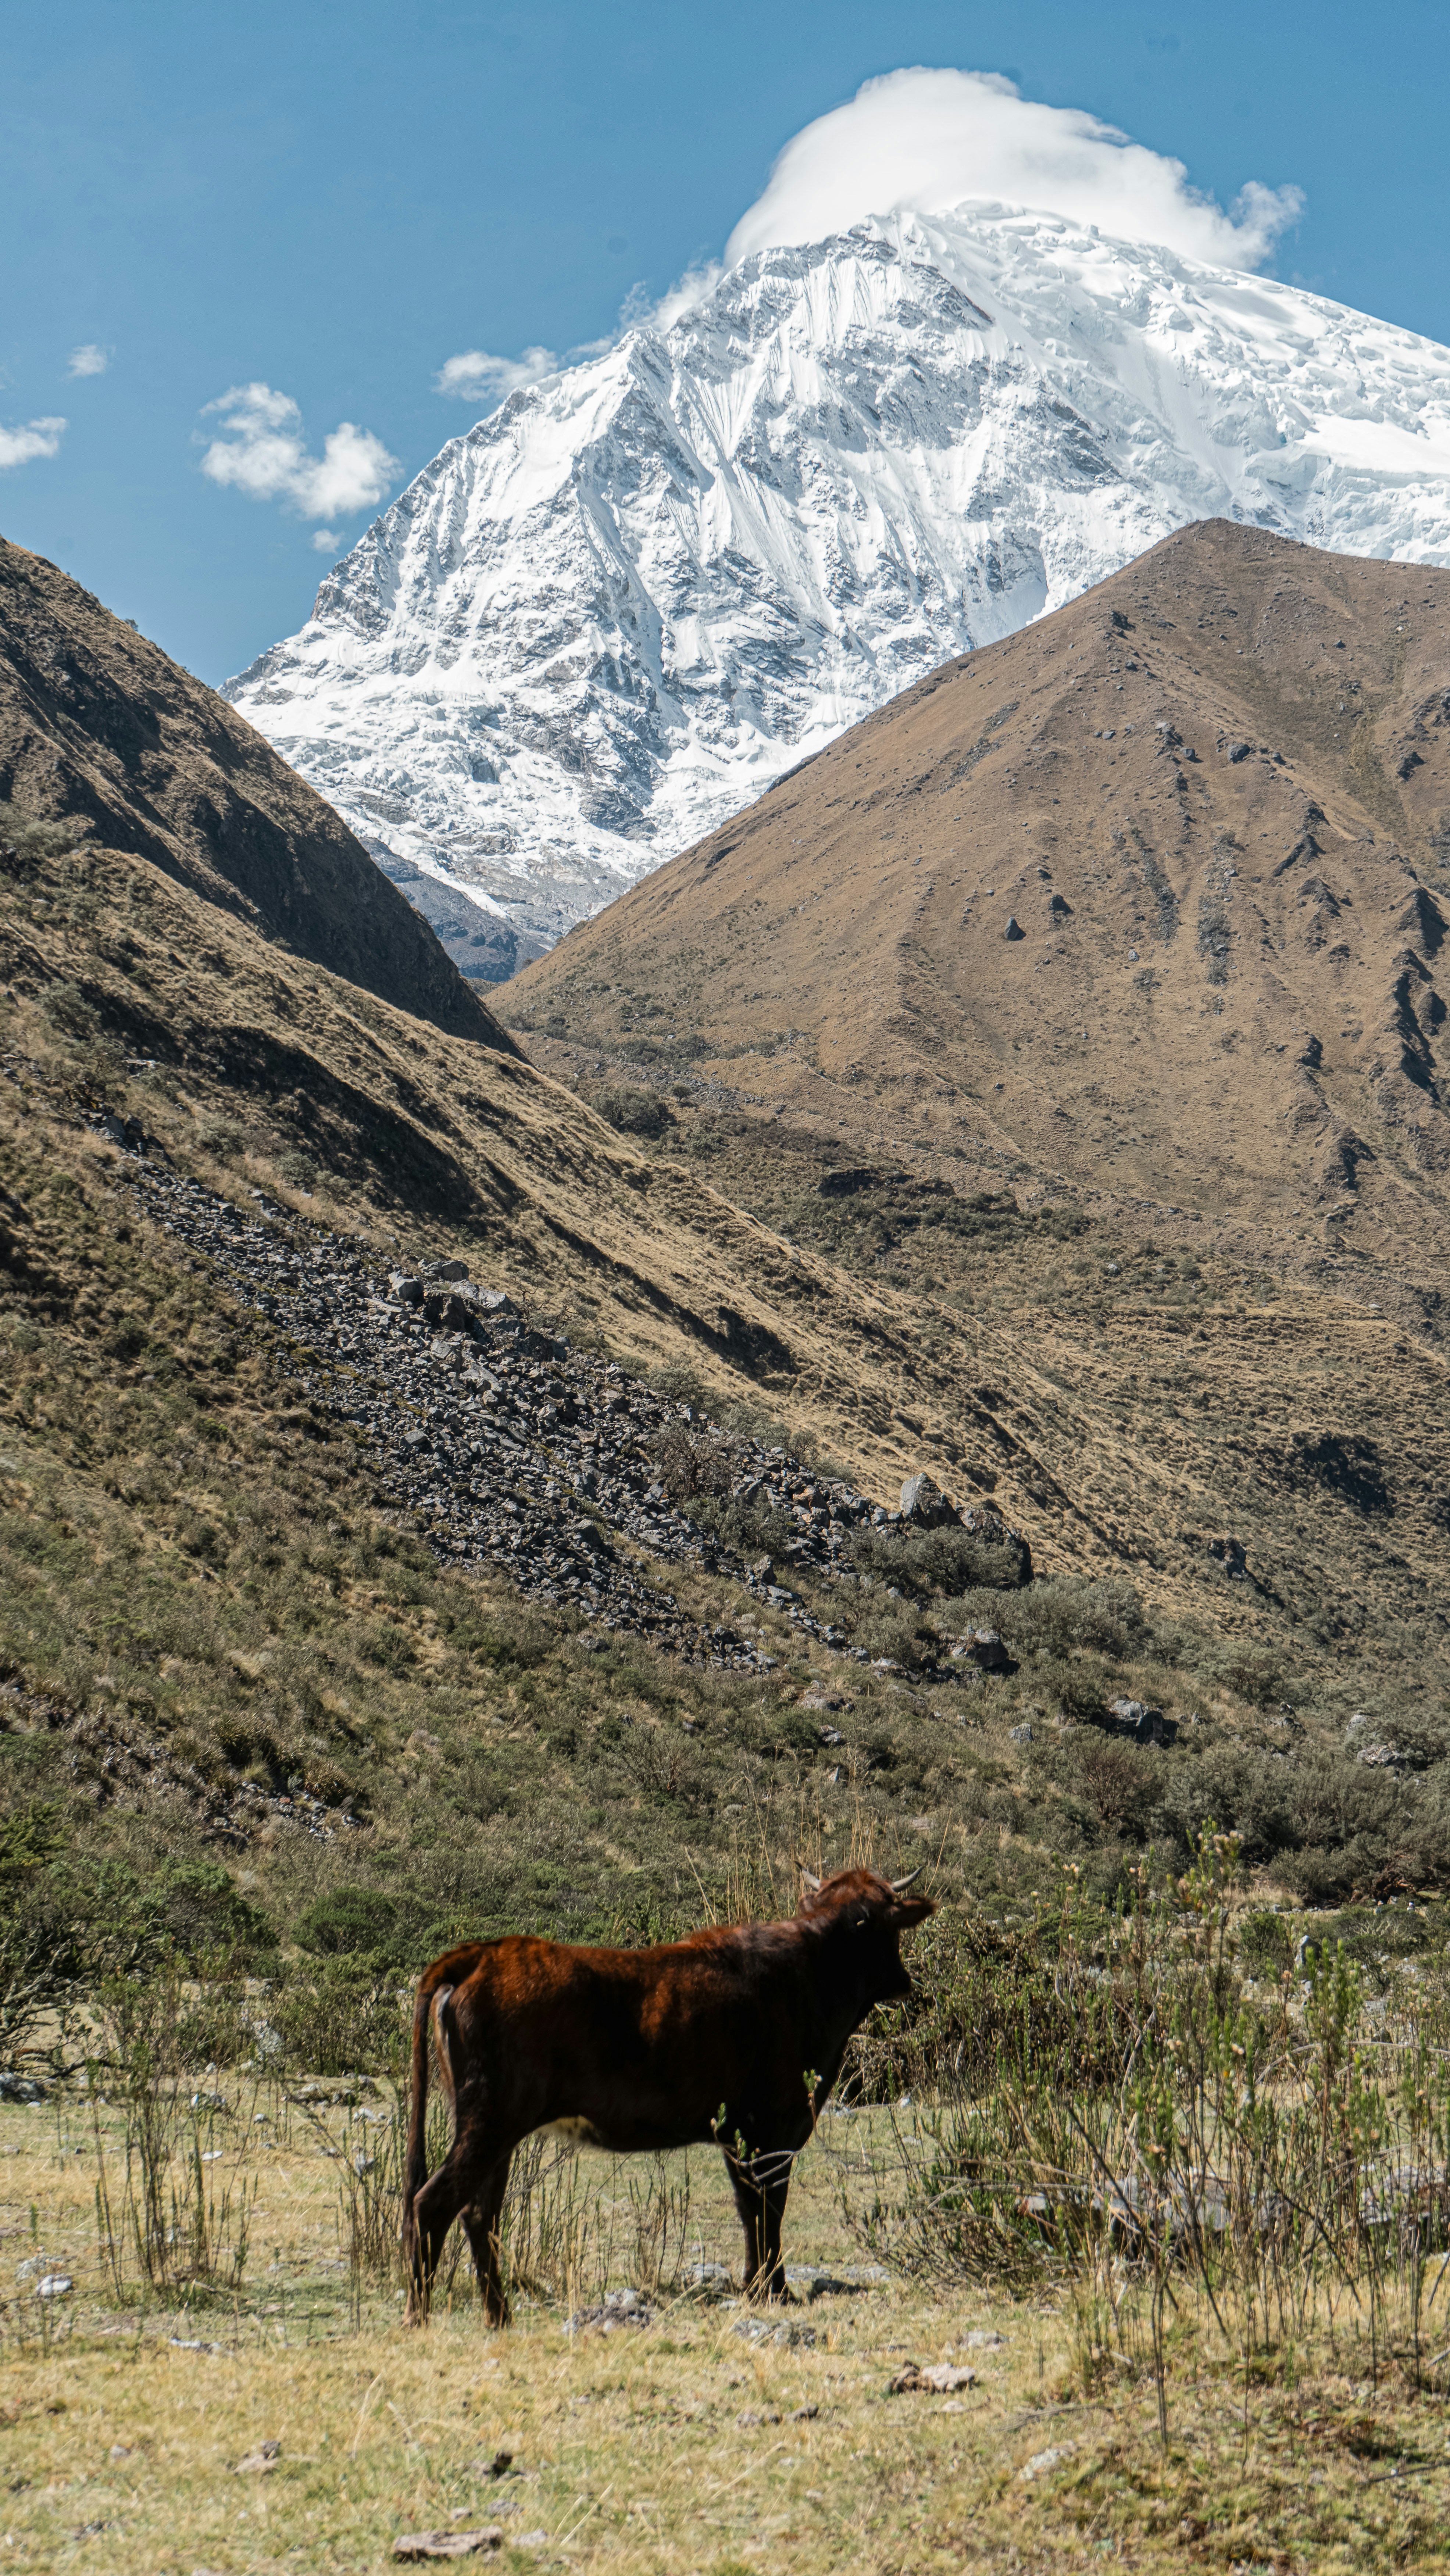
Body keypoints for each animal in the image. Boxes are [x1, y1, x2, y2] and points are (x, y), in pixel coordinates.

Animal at [401, 1864, 934, 2325]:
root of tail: (482, 1953)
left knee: (478, 2213)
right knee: (433, 2205)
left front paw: (756, 2287)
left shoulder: (736, 2133)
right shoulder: (773, 2128)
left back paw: (500, 2316)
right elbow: (769, 2208)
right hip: (490, 2121)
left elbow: (750, 2210)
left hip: (494, 2129)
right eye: (874, 1921)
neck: (811, 1972)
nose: (904, 1982)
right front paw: (776, 2291)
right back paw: (419, 2318)